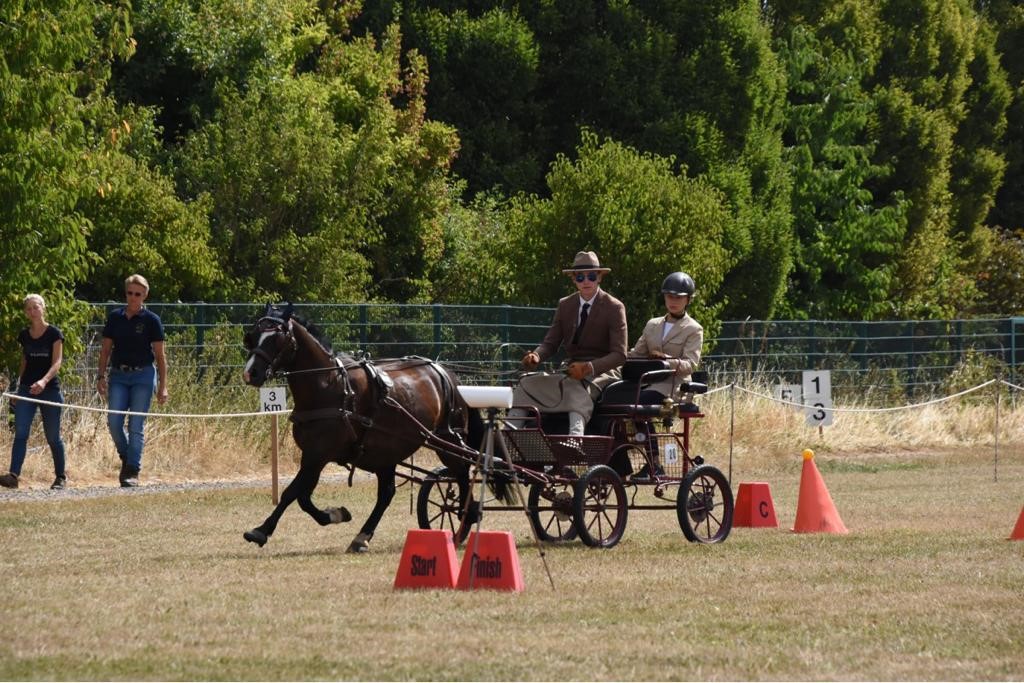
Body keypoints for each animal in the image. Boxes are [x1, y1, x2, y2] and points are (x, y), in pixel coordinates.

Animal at [240, 301, 483, 552]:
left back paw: (464, 518)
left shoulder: (318, 454)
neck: (328, 386)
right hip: (387, 451)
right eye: (253, 336)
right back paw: (362, 536)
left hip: (448, 439)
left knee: (462, 475)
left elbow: (293, 493)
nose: (251, 373)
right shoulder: (312, 454)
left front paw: (262, 530)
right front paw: (334, 514)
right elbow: (302, 496)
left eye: (276, 338)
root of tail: (446, 374)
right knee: (387, 493)